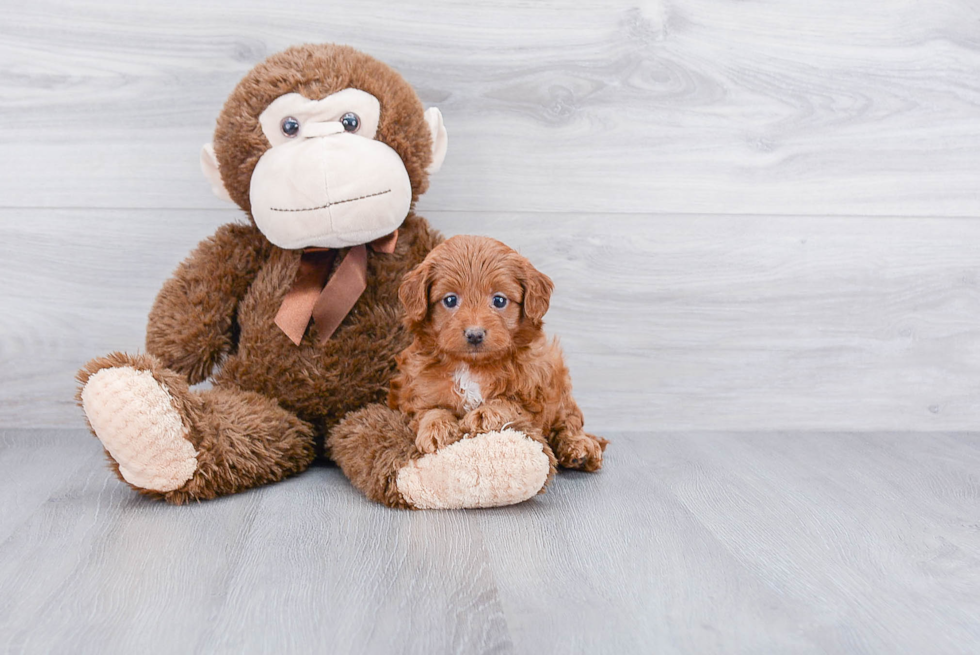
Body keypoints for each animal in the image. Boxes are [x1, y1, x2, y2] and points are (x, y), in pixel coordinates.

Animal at [388, 236, 604, 472]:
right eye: (450, 300)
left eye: (499, 300)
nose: (474, 334)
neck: (472, 365)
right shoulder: (418, 390)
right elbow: (430, 411)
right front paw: (437, 430)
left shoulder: (533, 392)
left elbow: (508, 404)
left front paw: (484, 415)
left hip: (558, 378)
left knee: (569, 421)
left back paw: (579, 448)